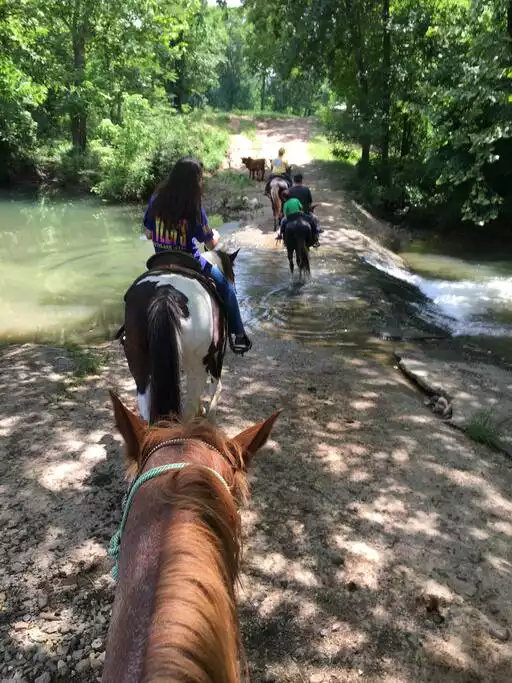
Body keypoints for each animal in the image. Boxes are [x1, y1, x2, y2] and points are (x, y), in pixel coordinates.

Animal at [121, 248, 239, 424]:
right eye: (233, 274)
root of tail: (165, 294)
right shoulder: (217, 357)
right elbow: (216, 389)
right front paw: (209, 418)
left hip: (140, 369)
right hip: (197, 367)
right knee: (190, 405)